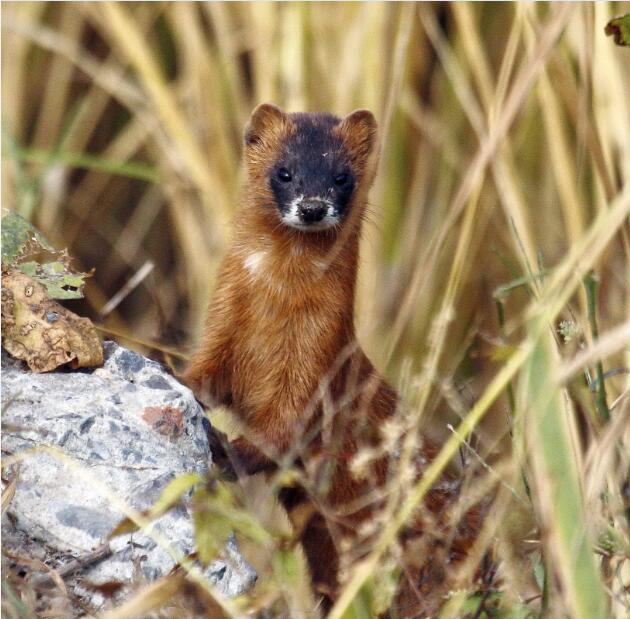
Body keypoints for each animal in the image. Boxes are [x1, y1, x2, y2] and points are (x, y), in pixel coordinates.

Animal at [185, 104, 486, 616]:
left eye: (342, 176)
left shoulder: (317, 359)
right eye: (284, 171)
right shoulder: (222, 327)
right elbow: (204, 378)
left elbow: (285, 428)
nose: (312, 206)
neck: (274, 309)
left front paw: (227, 448)